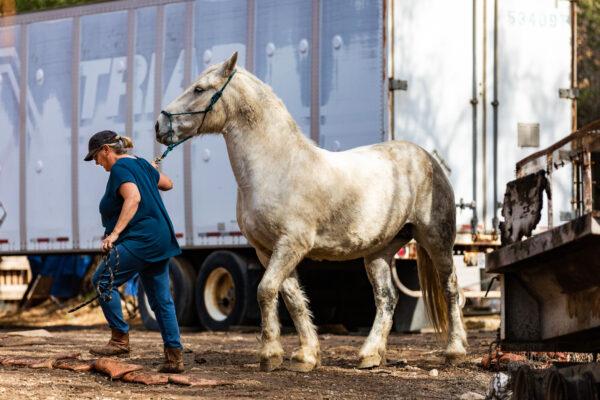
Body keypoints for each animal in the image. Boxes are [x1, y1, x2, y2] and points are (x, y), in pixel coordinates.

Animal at [157, 52, 466, 372]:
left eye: (199, 89)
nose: (159, 125)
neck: (277, 166)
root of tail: (429, 158)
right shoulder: (268, 250)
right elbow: (292, 298)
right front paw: (306, 355)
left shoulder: (292, 244)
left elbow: (266, 290)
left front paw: (270, 355)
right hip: (379, 250)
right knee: (386, 298)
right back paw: (370, 355)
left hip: (436, 239)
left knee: (450, 288)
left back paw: (454, 351)